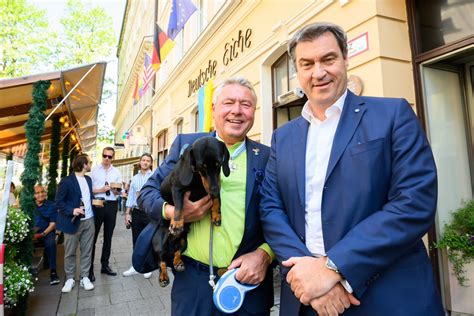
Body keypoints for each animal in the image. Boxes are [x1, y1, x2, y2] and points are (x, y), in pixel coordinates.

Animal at [155, 136, 231, 286]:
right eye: (202, 167)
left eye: (219, 164)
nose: (215, 190)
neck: (197, 179)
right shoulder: (177, 189)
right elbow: (179, 206)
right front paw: (177, 224)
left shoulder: (212, 186)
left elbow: (217, 200)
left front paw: (216, 216)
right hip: (161, 241)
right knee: (162, 260)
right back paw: (163, 277)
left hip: (184, 242)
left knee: (176, 252)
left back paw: (178, 262)